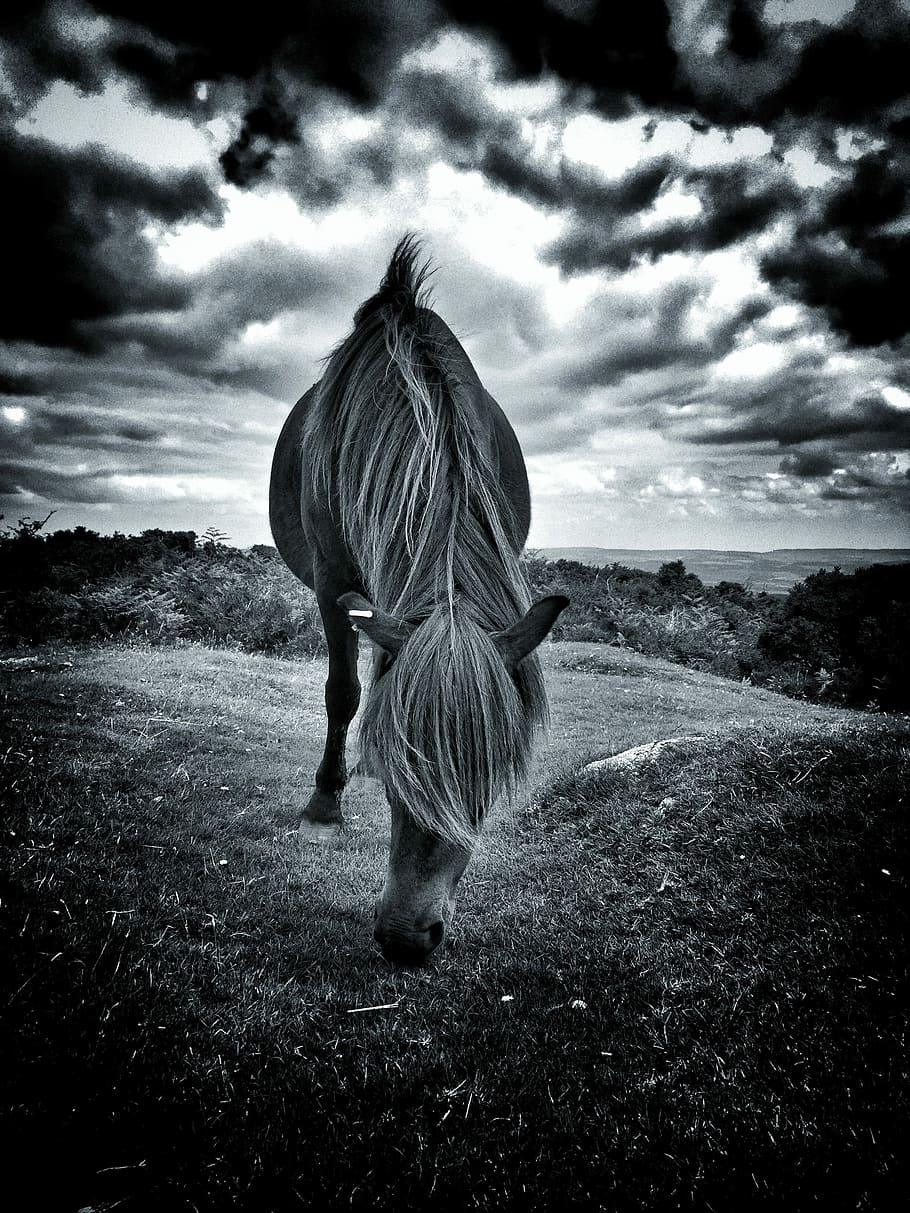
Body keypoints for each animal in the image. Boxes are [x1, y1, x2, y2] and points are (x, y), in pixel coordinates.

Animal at [269, 231, 570, 960]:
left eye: (491, 775)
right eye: (405, 767)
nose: (407, 937)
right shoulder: (335, 584)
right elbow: (345, 693)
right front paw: (325, 805)